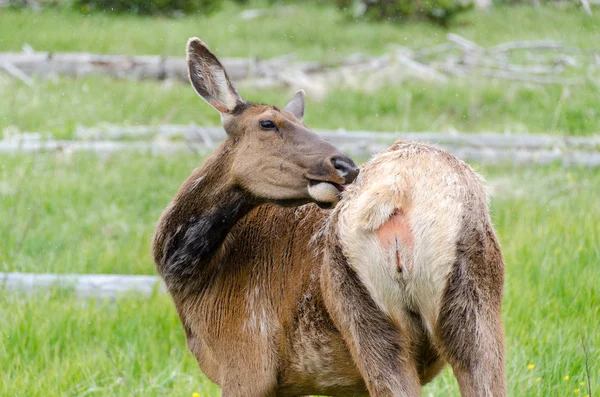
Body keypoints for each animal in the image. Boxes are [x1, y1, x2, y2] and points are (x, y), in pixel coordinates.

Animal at [151, 38, 506, 396]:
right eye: (268, 123)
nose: (345, 165)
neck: (198, 282)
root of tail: (400, 187)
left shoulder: (245, 360)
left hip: (364, 311)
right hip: (476, 305)